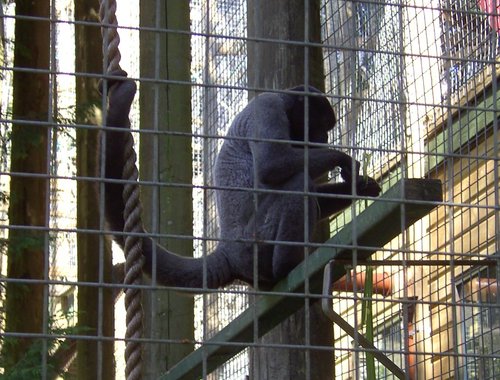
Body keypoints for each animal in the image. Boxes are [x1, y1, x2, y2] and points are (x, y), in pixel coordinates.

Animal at [103, 70, 380, 290]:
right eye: (322, 125)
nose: (324, 137)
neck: (285, 101)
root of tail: (228, 249)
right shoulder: (268, 107)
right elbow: (272, 164)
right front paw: (342, 159)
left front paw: (360, 187)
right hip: (254, 242)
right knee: (297, 182)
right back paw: (286, 267)